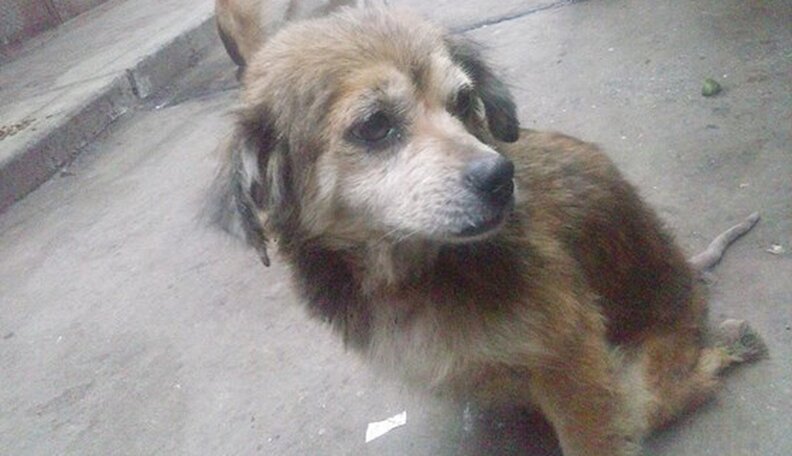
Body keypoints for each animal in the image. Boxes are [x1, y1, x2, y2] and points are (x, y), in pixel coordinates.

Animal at [207, 8, 767, 455]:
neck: (411, 276)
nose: (501, 178)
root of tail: (691, 277)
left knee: (676, 389)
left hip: (640, 374)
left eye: (462, 101)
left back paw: (733, 342)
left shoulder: (572, 358)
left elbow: (593, 434)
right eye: (374, 125)